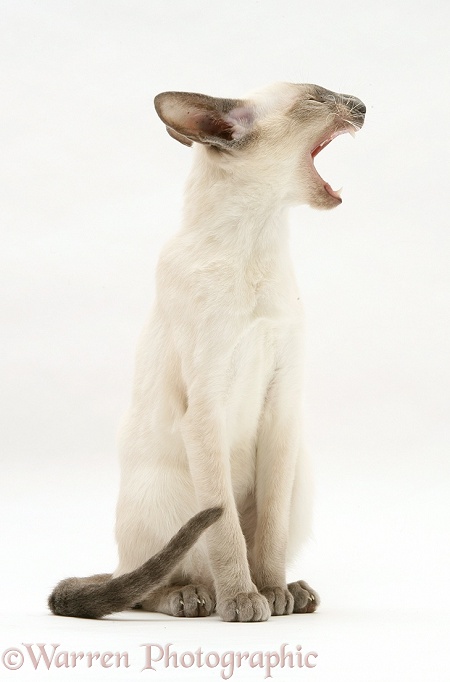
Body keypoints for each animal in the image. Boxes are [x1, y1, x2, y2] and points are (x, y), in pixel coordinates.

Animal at [47, 82, 364, 620]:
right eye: (316, 99)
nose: (362, 105)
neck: (258, 240)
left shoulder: (282, 406)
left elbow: (269, 536)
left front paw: (270, 592)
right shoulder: (205, 410)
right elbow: (226, 533)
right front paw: (244, 600)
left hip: (301, 478)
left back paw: (291, 591)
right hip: (166, 493)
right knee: (150, 582)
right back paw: (197, 597)